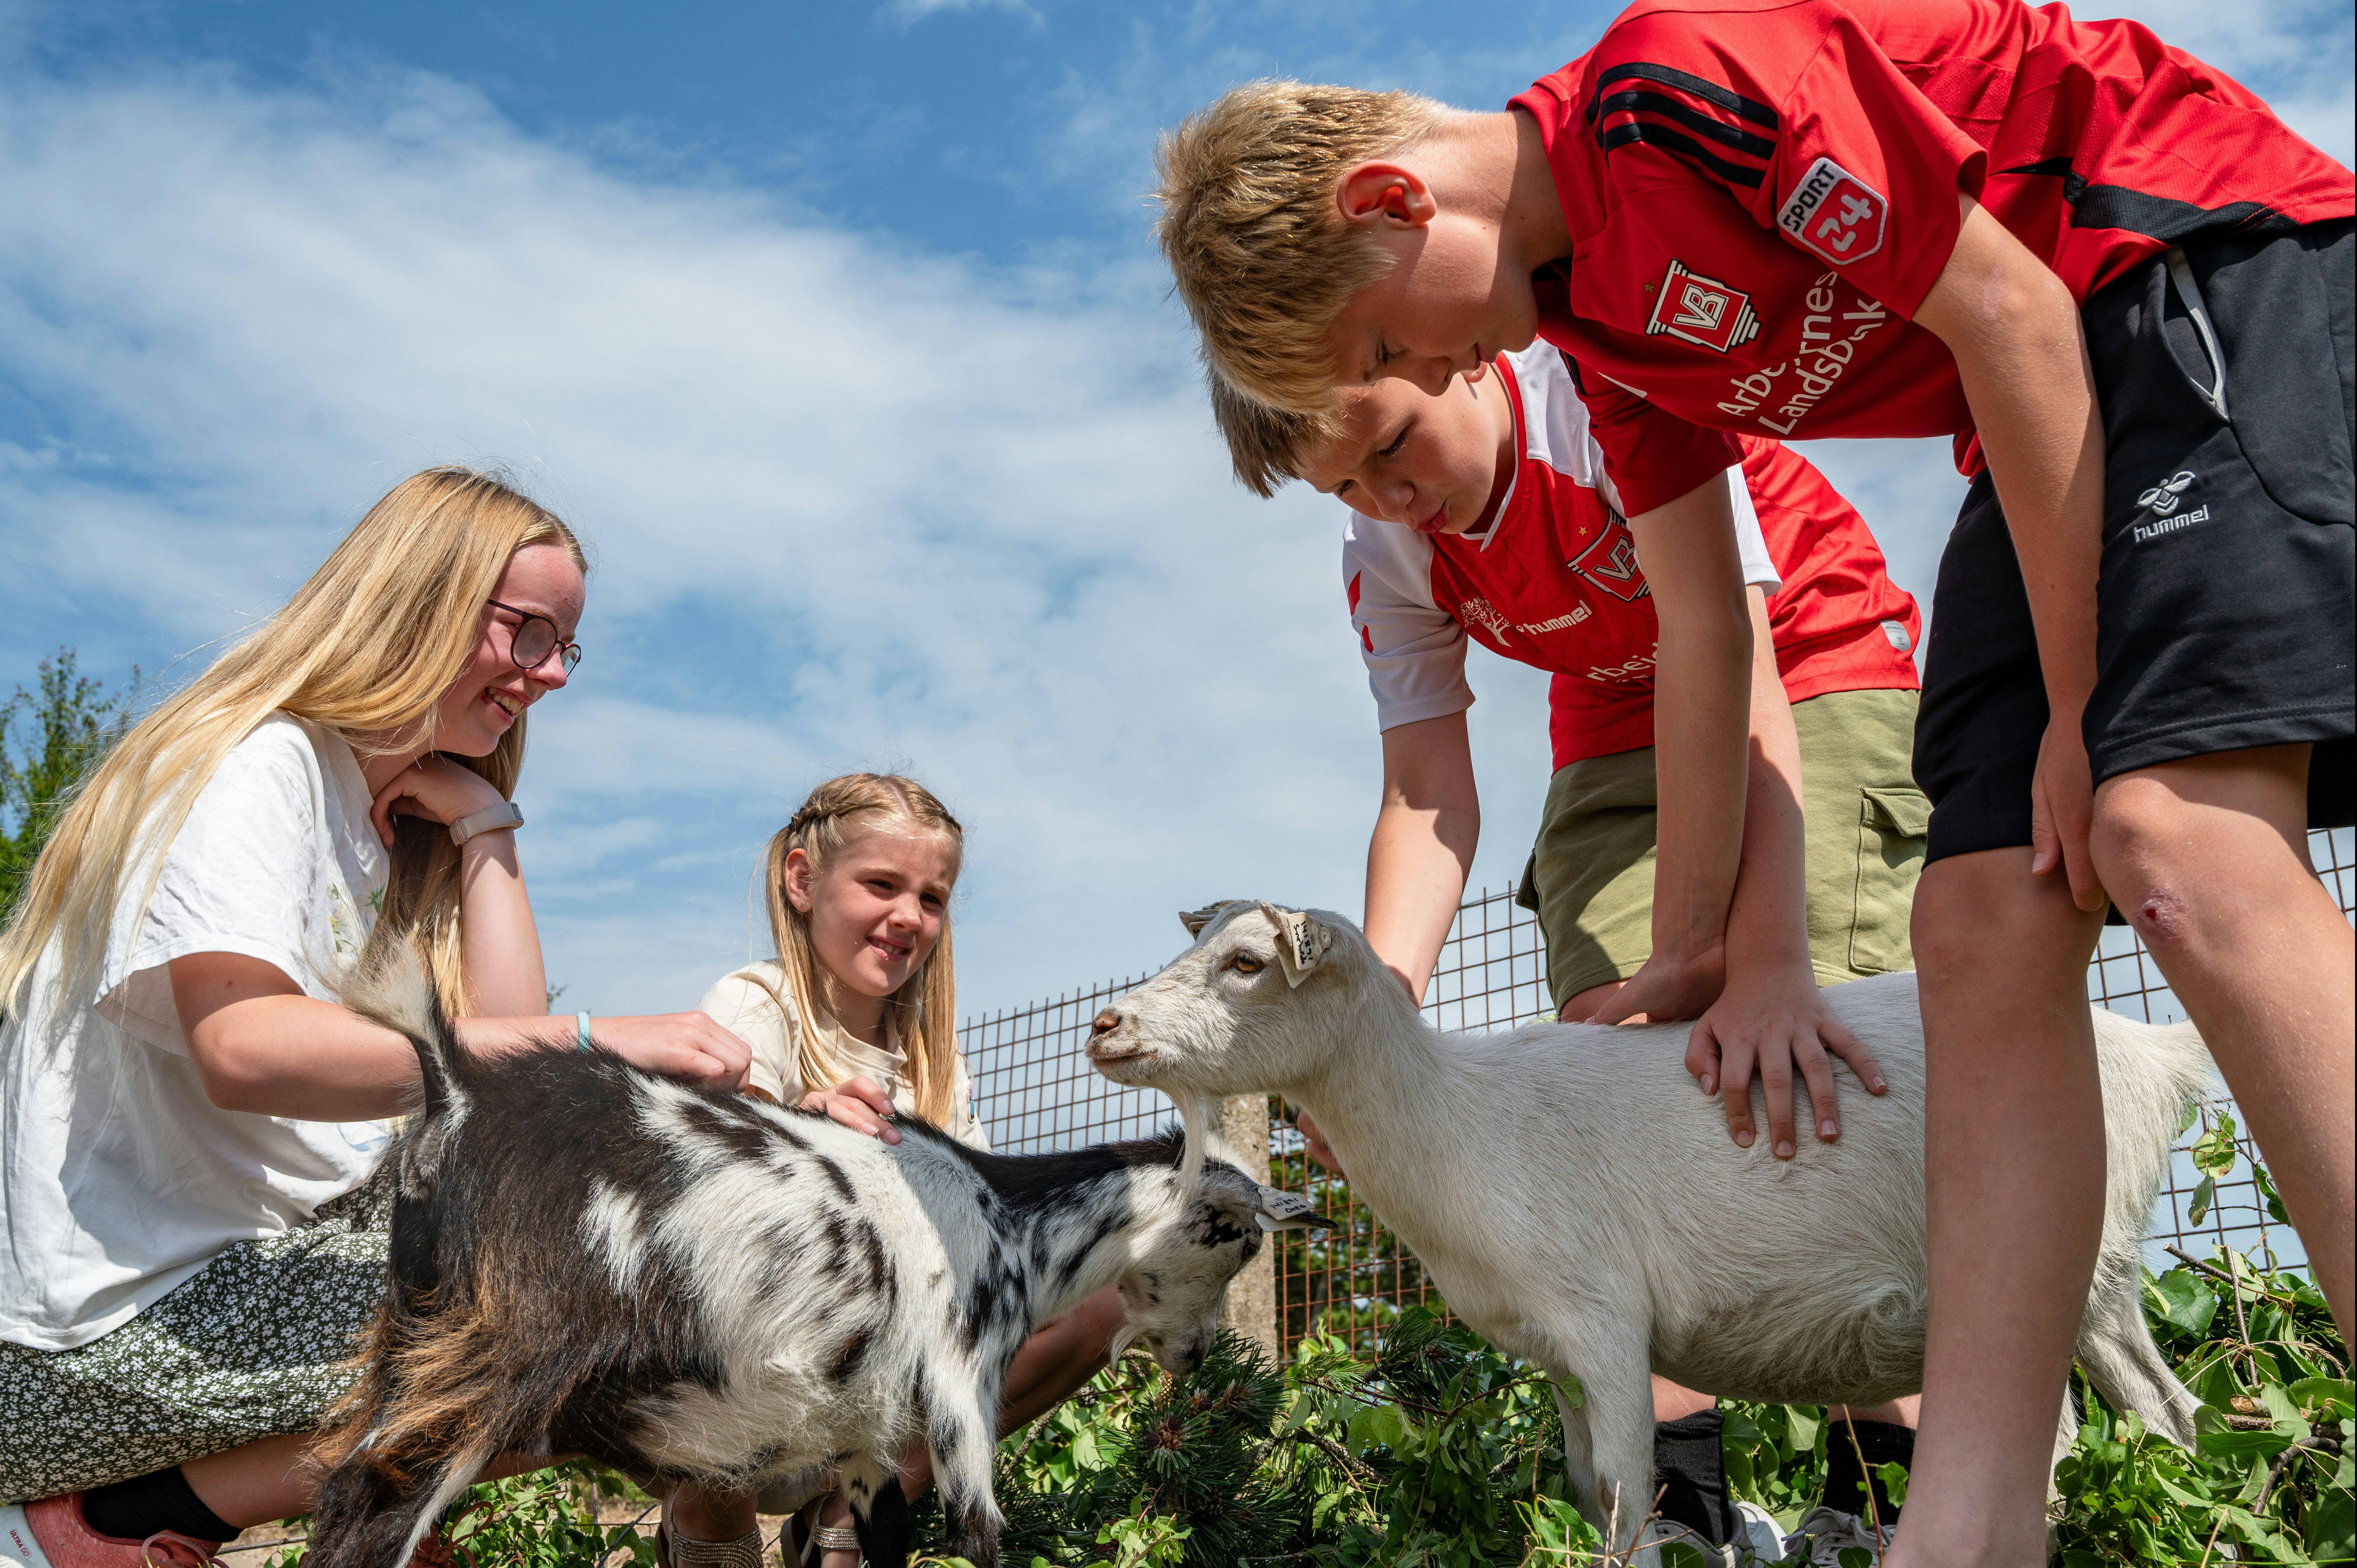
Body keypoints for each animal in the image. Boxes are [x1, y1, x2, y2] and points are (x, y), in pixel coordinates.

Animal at [308, 958, 1316, 1568]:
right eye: (1237, 1238)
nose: (1197, 1355)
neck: (1012, 1219)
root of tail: (456, 1091)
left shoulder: (865, 1438)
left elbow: (887, 1539)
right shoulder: (962, 1390)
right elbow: (979, 1535)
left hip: (416, 1338)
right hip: (501, 1351)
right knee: (372, 1503)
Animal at [1086, 900, 2209, 1560]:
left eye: (1243, 961)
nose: (1103, 1026)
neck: (1457, 1122)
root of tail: (2151, 1053)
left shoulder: (1603, 1321)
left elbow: (1627, 1493)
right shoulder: (1555, 1355)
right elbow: (1590, 1487)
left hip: (2055, 1255)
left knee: (2060, 1427)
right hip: (2103, 1276)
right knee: (2162, 1408)